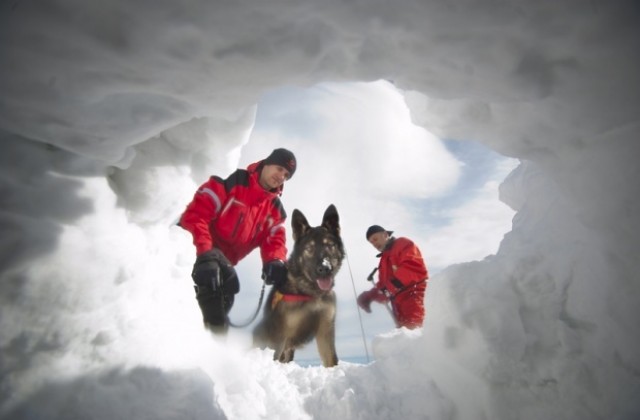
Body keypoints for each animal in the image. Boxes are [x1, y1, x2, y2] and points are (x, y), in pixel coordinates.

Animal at [254, 205, 344, 366]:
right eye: (309, 248)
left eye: (330, 245)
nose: (324, 268)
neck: (311, 292)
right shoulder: (280, 335)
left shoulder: (326, 330)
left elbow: (331, 360)